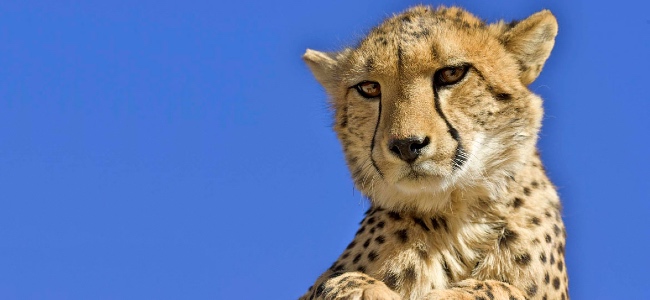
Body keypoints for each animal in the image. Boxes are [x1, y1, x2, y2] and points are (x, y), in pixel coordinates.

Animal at [298, 4, 568, 300]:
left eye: (452, 73)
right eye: (369, 88)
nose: (406, 145)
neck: (459, 215)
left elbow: (500, 287)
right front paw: (357, 287)